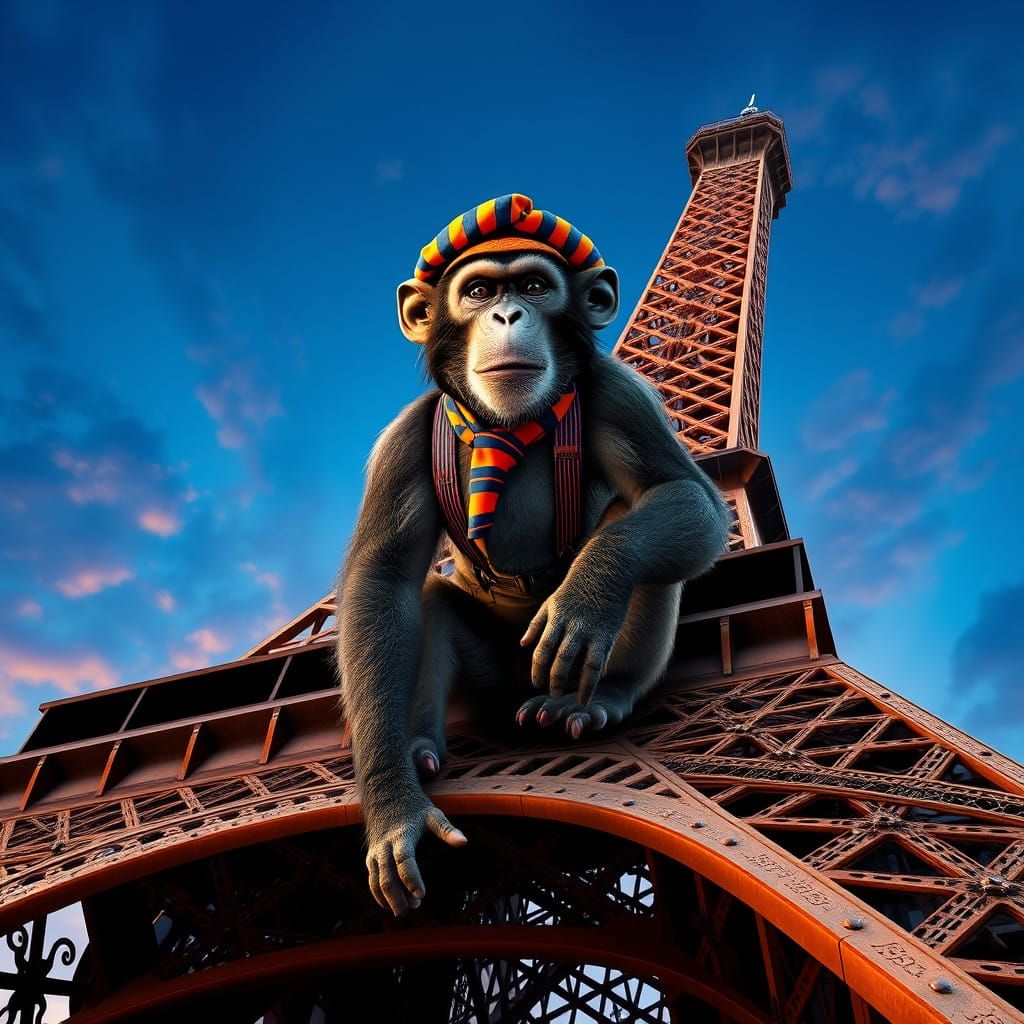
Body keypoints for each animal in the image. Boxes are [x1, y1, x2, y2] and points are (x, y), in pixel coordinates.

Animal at [336, 195, 732, 917]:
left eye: (535, 286)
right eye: (478, 291)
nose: (507, 316)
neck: (507, 427)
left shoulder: (622, 392)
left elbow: (684, 496)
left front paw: (587, 594)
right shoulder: (402, 441)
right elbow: (383, 579)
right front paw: (391, 806)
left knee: (639, 529)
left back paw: (596, 701)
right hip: (496, 678)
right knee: (428, 602)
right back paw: (421, 746)